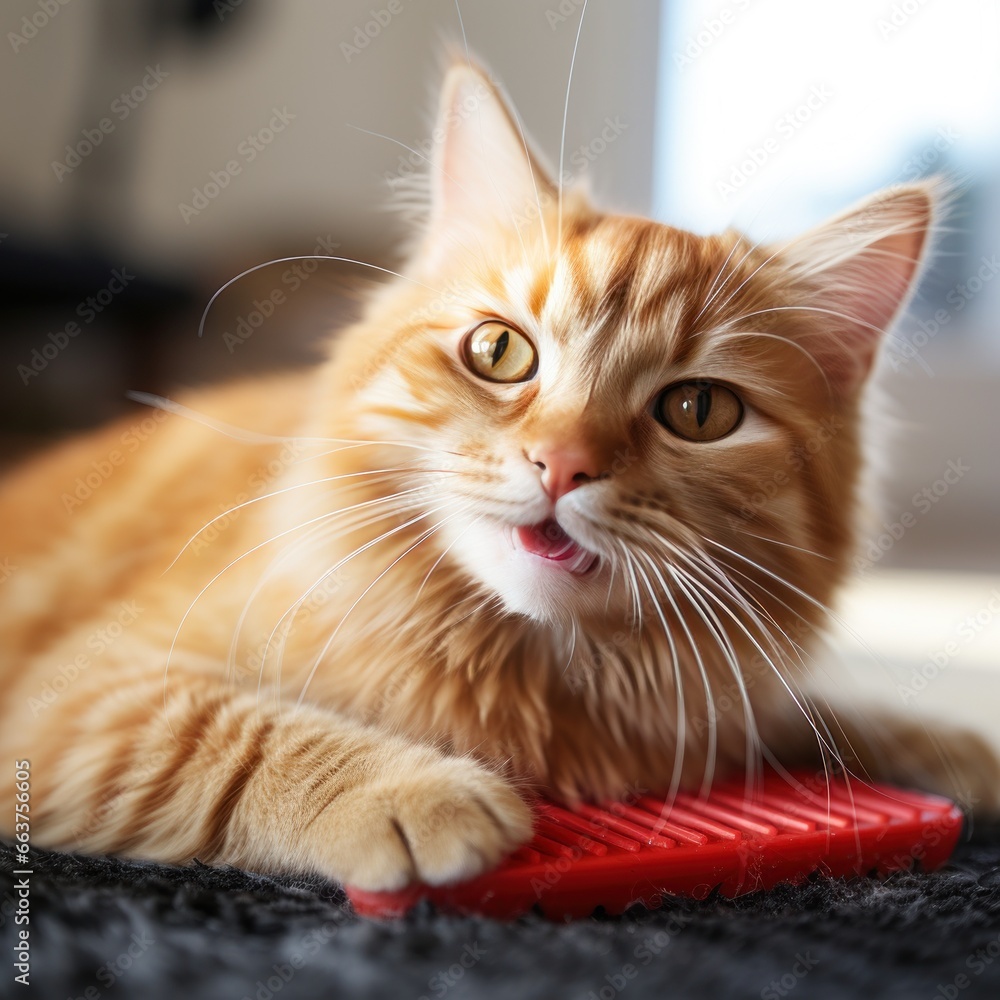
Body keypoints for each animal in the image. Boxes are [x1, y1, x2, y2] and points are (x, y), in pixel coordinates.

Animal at [0, 64, 992, 892]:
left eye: (699, 410)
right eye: (500, 353)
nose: (563, 462)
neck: (537, 679)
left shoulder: (724, 701)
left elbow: (819, 711)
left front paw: (950, 747)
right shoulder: (79, 695)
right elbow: (231, 736)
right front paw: (412, 794)